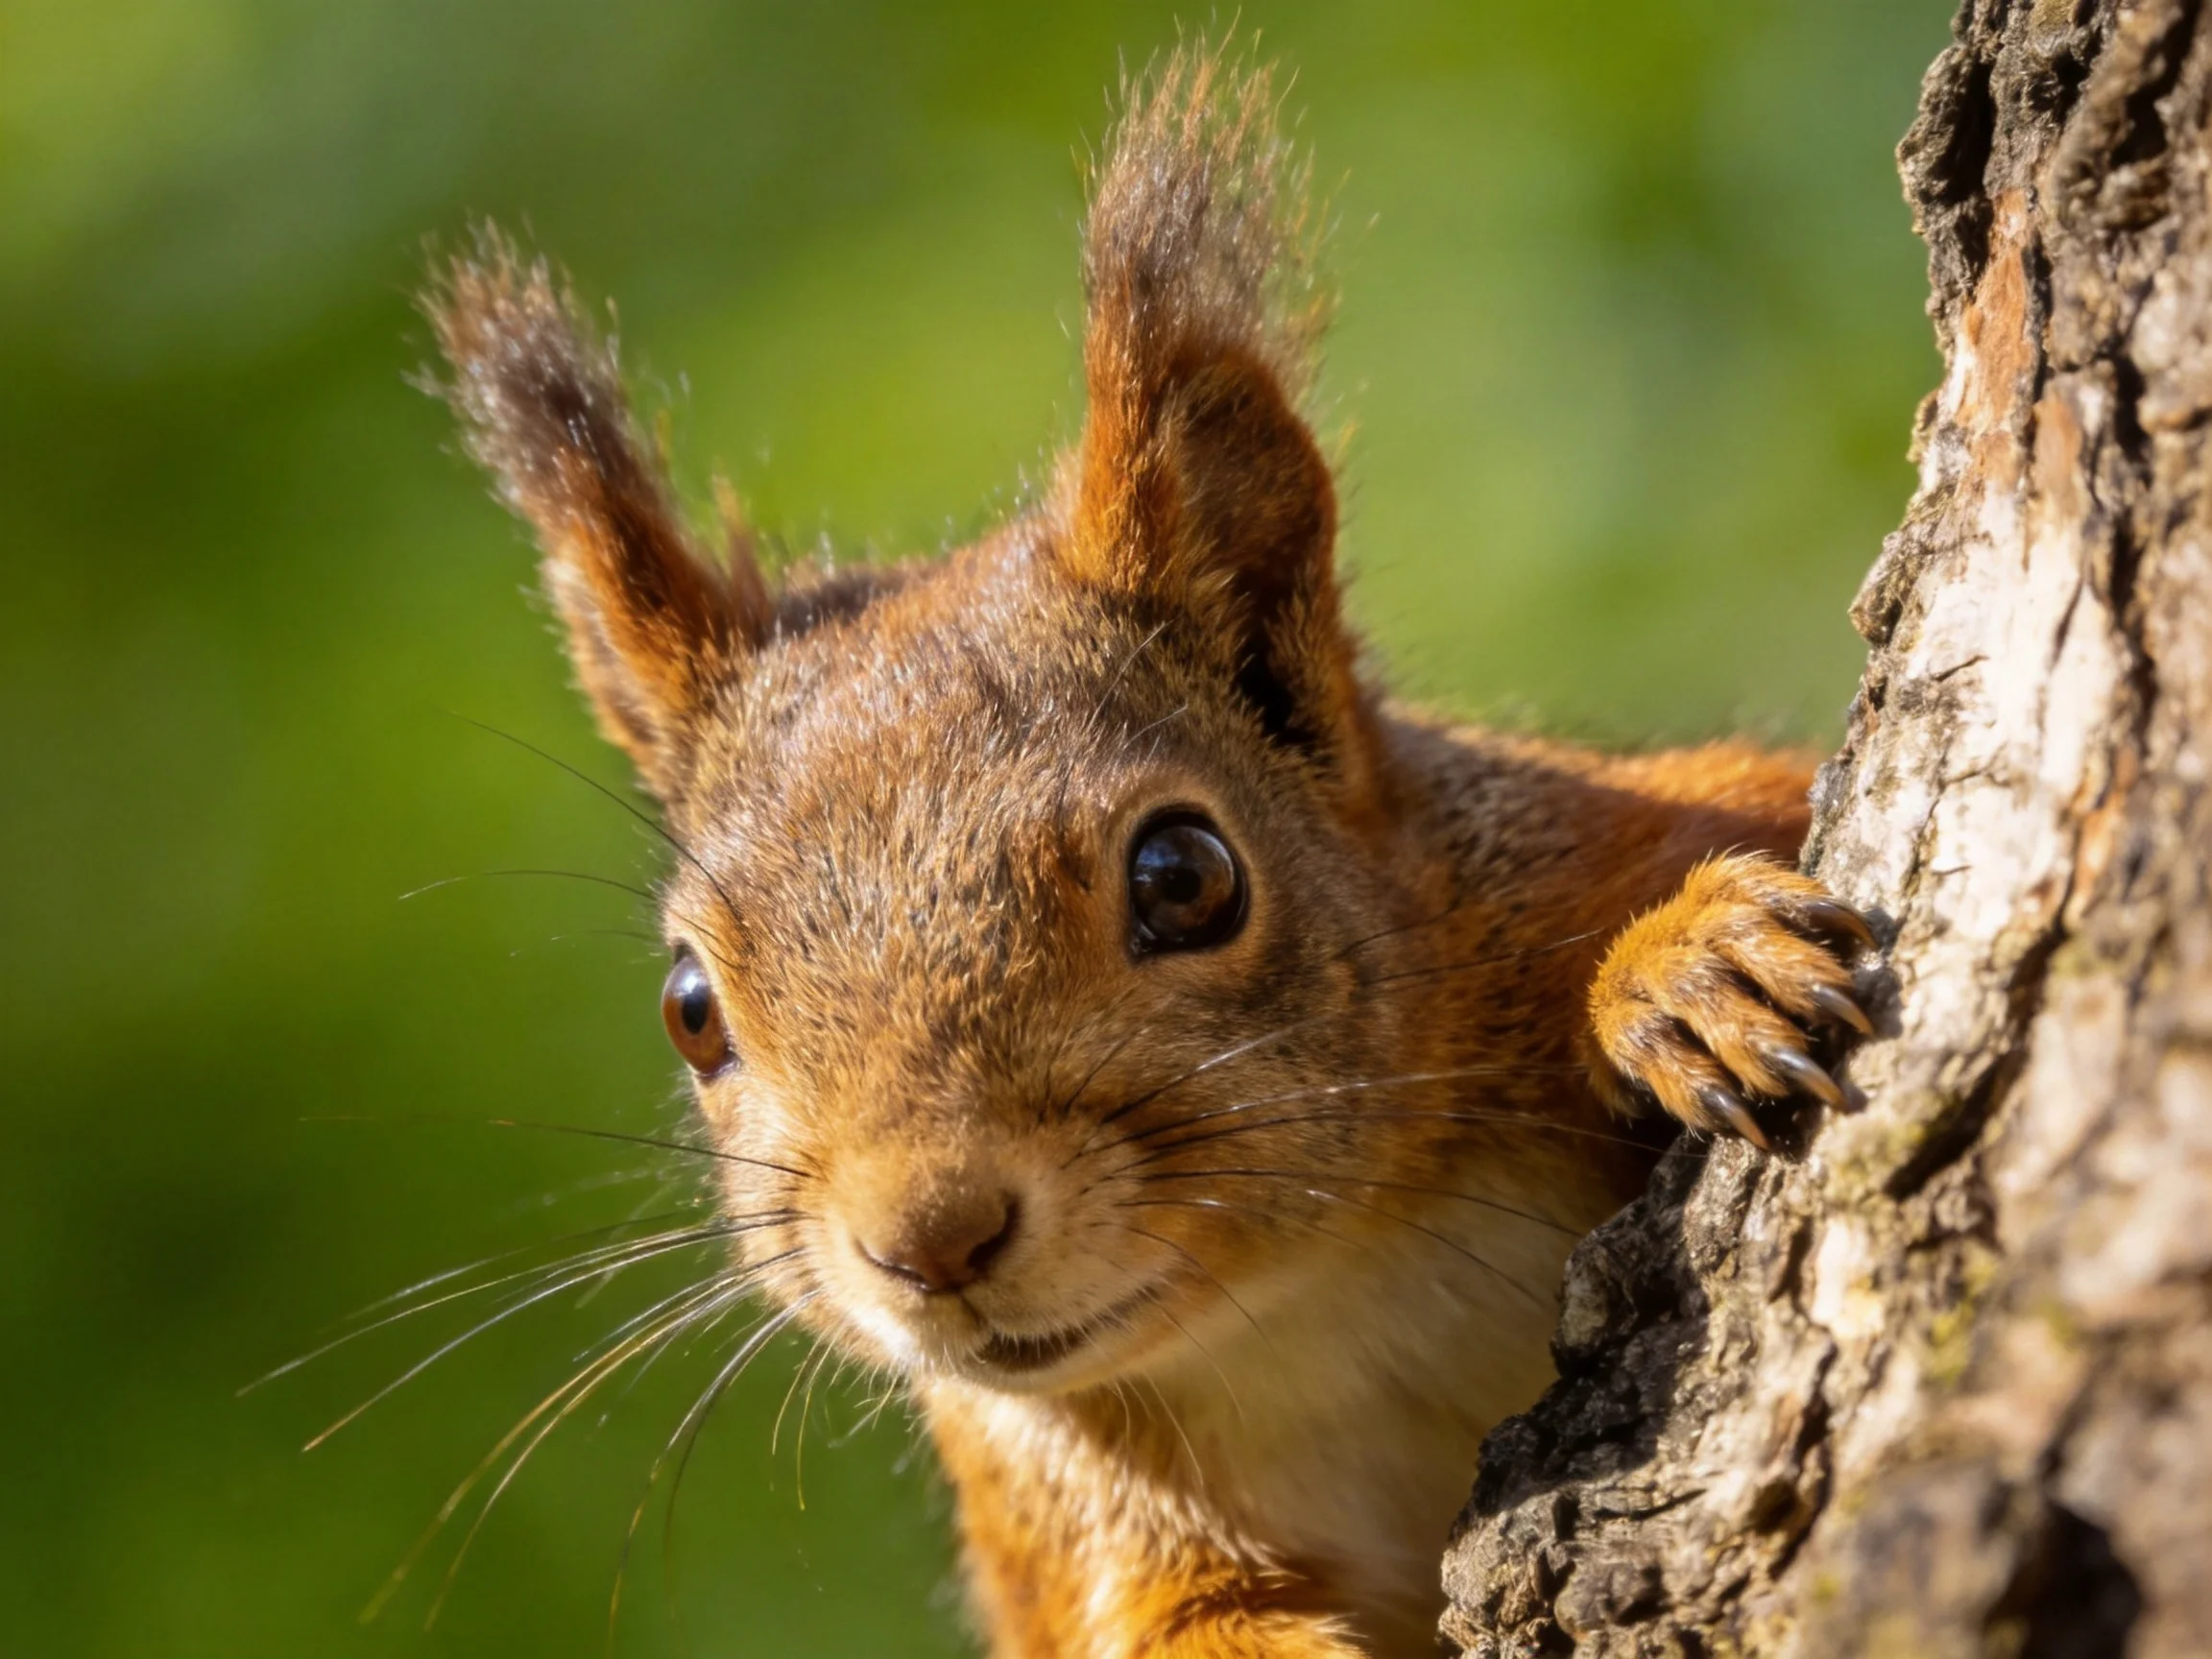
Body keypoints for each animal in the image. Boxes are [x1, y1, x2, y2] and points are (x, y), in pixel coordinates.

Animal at [424, 45, 1874, 1659]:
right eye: (689, 1011)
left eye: (1186, 878)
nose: (929, 1237)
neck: (1313, 1299)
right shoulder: (1062, 1513)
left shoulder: (1598, 841)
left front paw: (1686, 973)